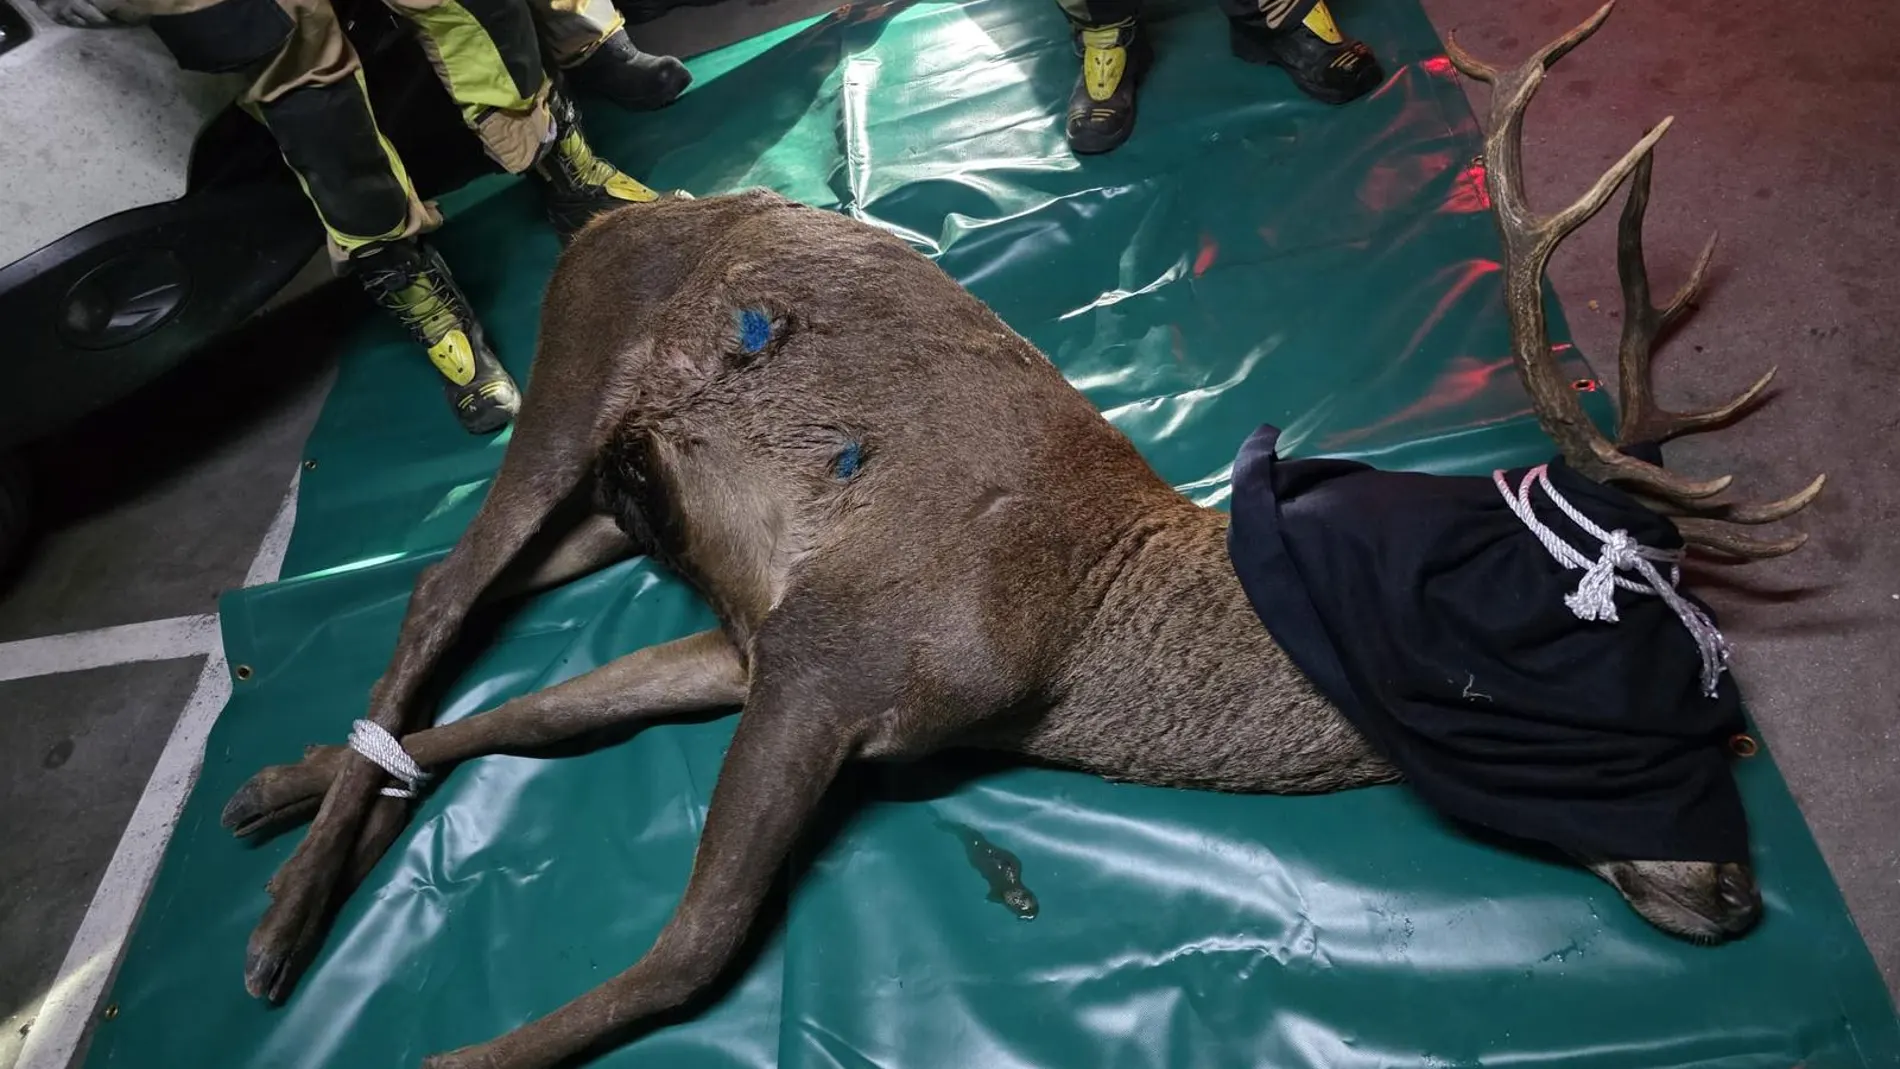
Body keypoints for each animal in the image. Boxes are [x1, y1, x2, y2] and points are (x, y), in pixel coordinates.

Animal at [213, 5, 1823, 1067]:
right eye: (1601, 681)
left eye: (1739, 719)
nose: (1741, 894)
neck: (1070, 646)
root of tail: (614, 219)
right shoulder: (836, 651)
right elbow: (691, 945)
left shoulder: (760, 639)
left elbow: (548, 718)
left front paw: (298, 802)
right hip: (573, 371)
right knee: (440, 583)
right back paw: (284, 922)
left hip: (614, 516)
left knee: (488, 622)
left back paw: (285, 821)